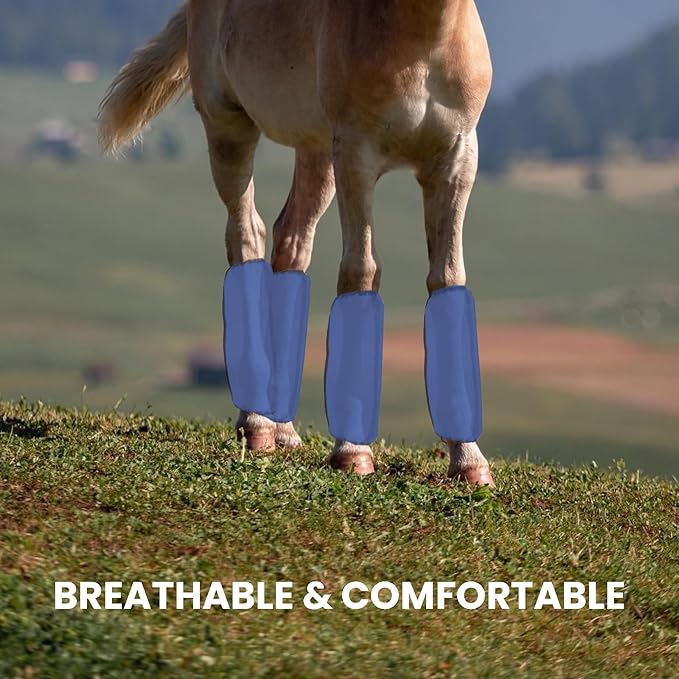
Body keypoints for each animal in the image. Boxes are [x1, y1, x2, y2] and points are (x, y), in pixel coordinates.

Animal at [98, 0, 495, 487]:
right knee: (247, 235)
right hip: (230, 127)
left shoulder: (458, 159)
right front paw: (352, 451)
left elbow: (447, 278)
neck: (424, 38)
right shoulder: (357, 155)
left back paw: (283, 428)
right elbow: (361, 272)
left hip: (316, 149)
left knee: (291, 244)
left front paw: (469, 459)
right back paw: (256, 425)